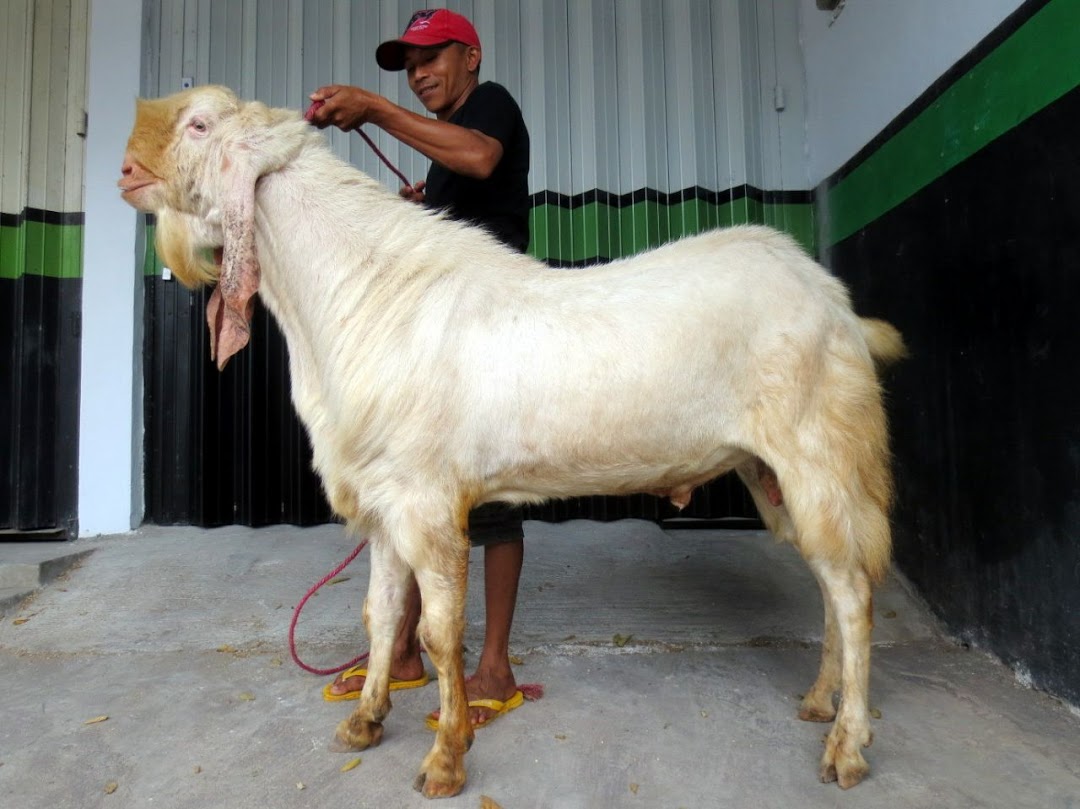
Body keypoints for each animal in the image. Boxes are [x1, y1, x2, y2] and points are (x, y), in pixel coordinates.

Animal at [122, 86, 907, 794]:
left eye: (198, 123)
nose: (126, 170)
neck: (363, 294)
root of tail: (837, 306)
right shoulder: (384, 498)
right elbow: (381, 614)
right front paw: (367, 719)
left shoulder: (429, 500)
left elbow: (438, 631)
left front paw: (446, 757)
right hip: (770, 473)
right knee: (830, 582)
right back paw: (821, 701)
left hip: (819, 454)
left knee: (853, 593)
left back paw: (847, 746)